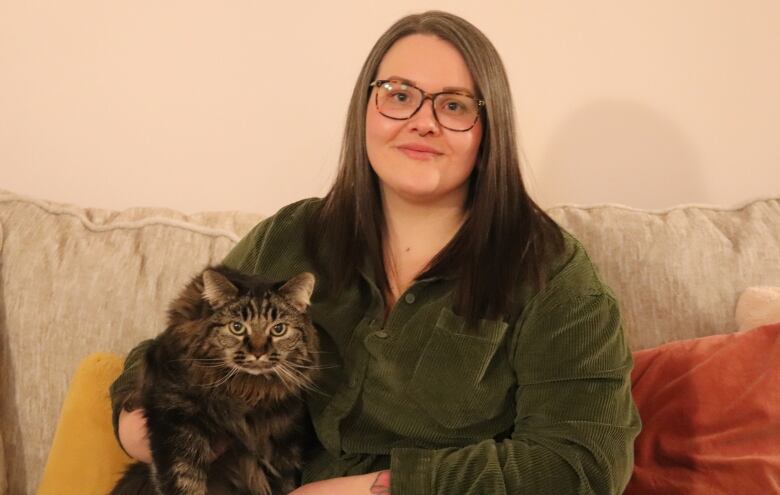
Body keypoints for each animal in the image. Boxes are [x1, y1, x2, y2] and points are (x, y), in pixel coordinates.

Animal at [108, 268, 318, 495]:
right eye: (237, 327)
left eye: (279, 329)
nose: (258, 353)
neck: (248, 390)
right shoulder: (175, 416)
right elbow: (184, 480)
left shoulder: (284, 437)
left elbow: (285, 482)